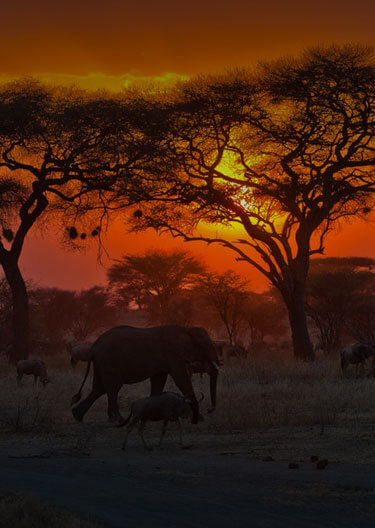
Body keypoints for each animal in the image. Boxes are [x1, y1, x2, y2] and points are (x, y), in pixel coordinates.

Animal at [70, 324, 220, 426]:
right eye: (206, 345)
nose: (209, 410)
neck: (187, 329)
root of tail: (93, 347)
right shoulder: (173, 356)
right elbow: (181, 379)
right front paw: (199, 418)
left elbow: (159, 382)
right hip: (109, 362)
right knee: (112, 389)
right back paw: (119, 420)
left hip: (102, 363)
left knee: (99, 389)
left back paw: (77, 416)